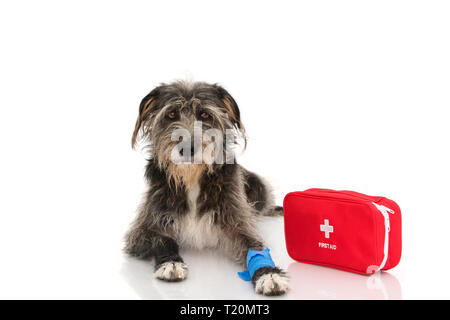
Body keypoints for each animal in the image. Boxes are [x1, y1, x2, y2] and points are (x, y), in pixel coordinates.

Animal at [125, 81, 290, 296]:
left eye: (204, 114)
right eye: (171, 114)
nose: (188, 148)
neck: (191, 179)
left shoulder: (237, 221)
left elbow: (253, 246)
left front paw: (268, 274)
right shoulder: (140, 231)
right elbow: (162, 240)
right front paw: (171, 263)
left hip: (258, 186)